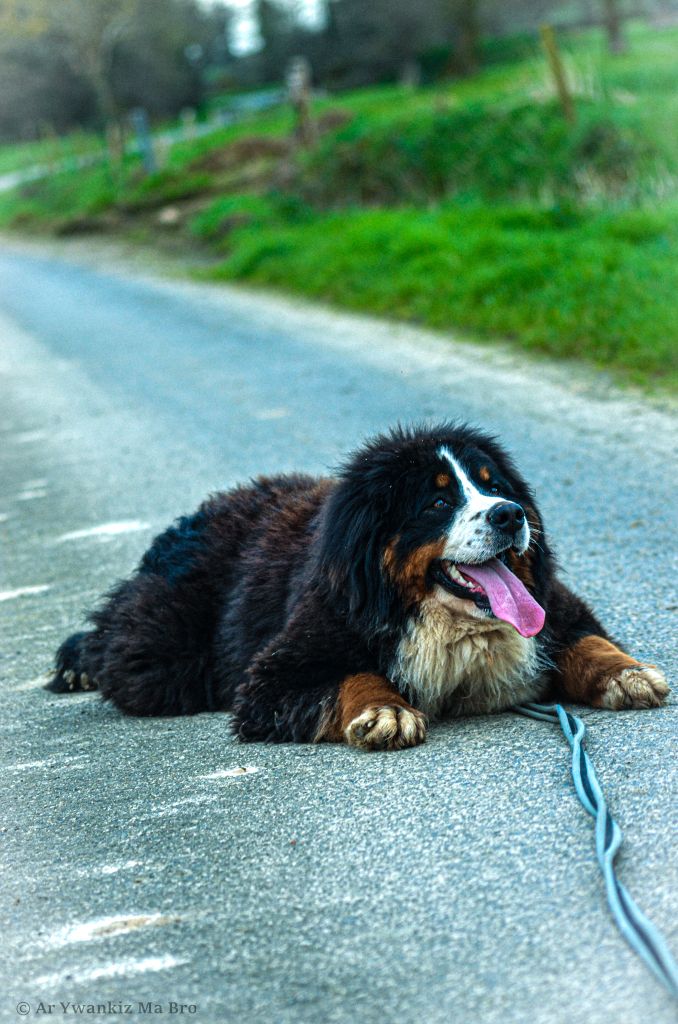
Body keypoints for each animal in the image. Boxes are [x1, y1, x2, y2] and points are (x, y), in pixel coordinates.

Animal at [46, 419, 667, 749]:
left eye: (494, 486)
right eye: (438, 502)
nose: (511, 515)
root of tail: (192, 518)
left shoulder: (555, 607)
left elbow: (586, 640)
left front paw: (626, 672)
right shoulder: (278, 674)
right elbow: (353, 675)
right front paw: (386, 711)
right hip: (163, 653)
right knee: (113, 640)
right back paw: (78, 666)